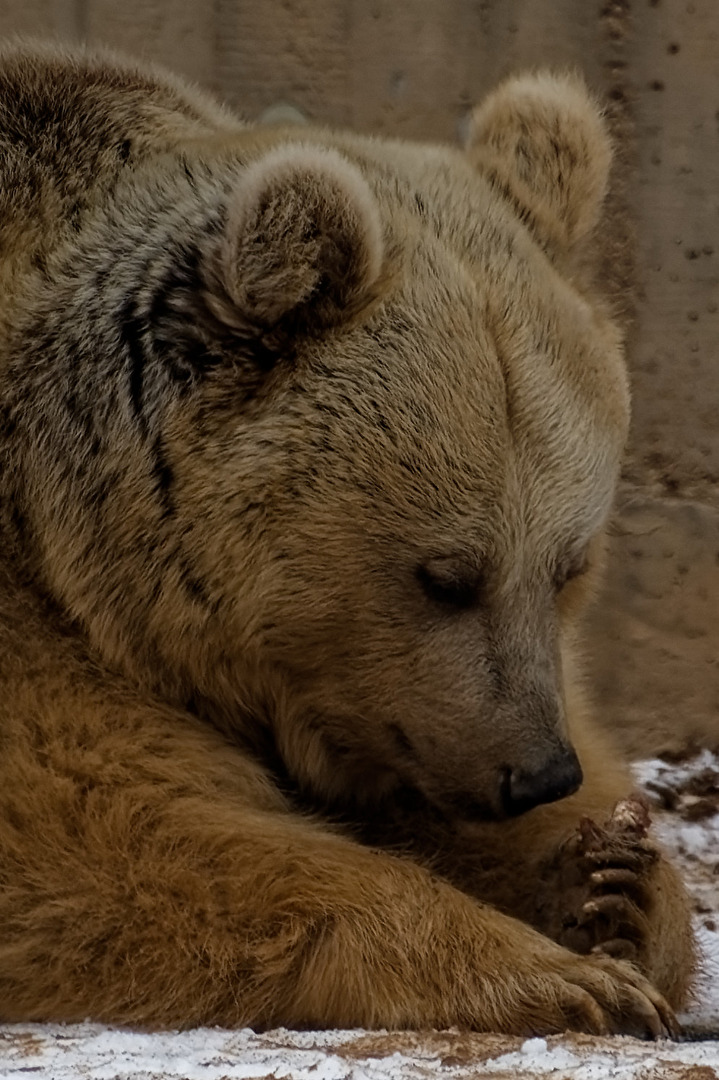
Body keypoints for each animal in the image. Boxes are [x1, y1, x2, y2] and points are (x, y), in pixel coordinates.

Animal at [0, 42, 695, 1032]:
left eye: (568, 567)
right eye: (444, 575)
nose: (537, 774)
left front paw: (614, 888)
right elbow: (88, 836)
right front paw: (556, 976)